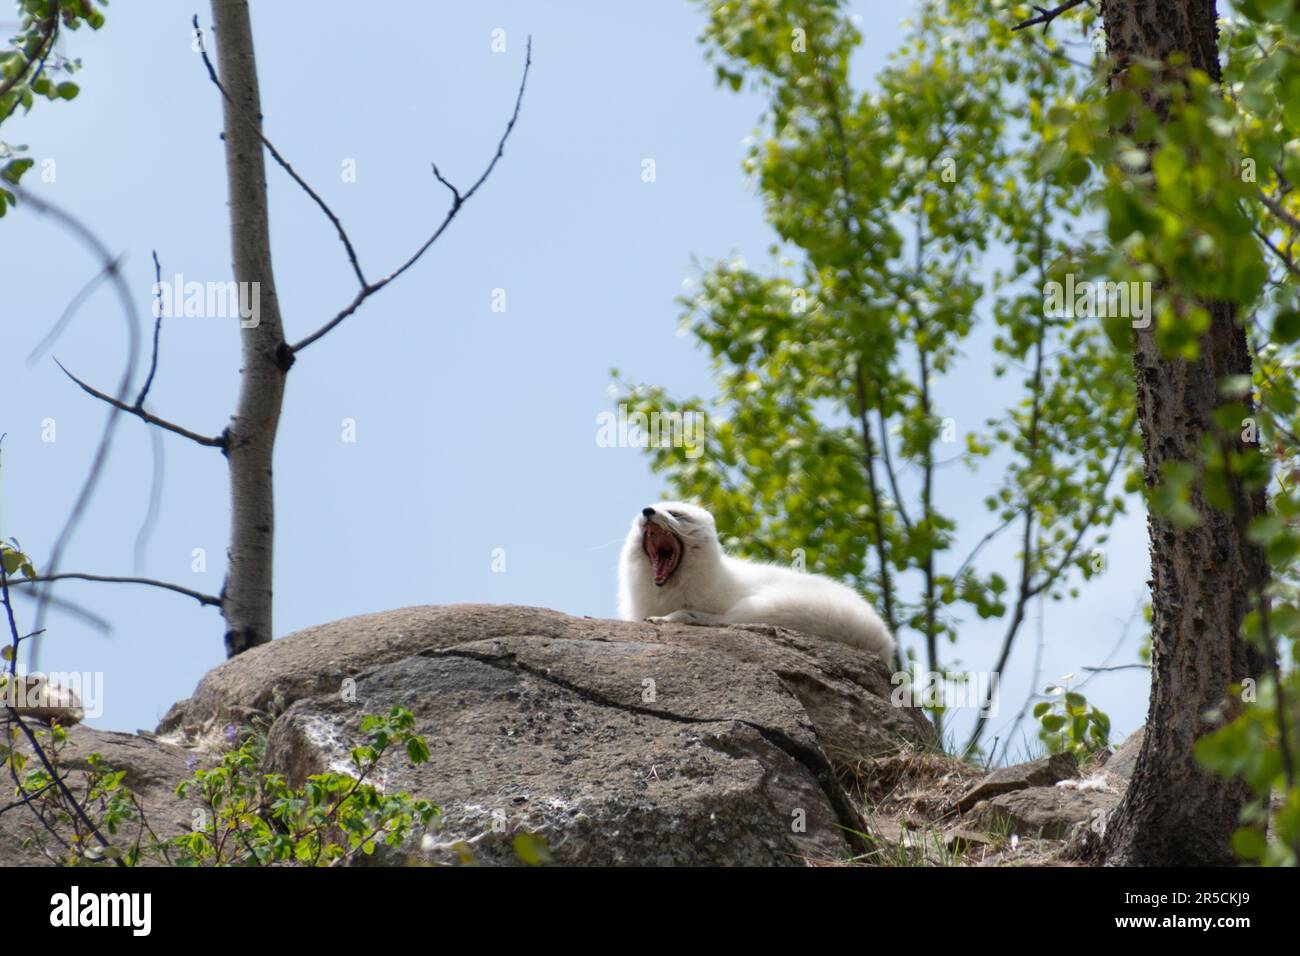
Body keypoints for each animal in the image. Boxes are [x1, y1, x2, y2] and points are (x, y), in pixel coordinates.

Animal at [618, 502, 894, 658]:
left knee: (724, 621)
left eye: (676, 514)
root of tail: (886, 642)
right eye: (643, 514)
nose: (647, 511)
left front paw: (671, 616)